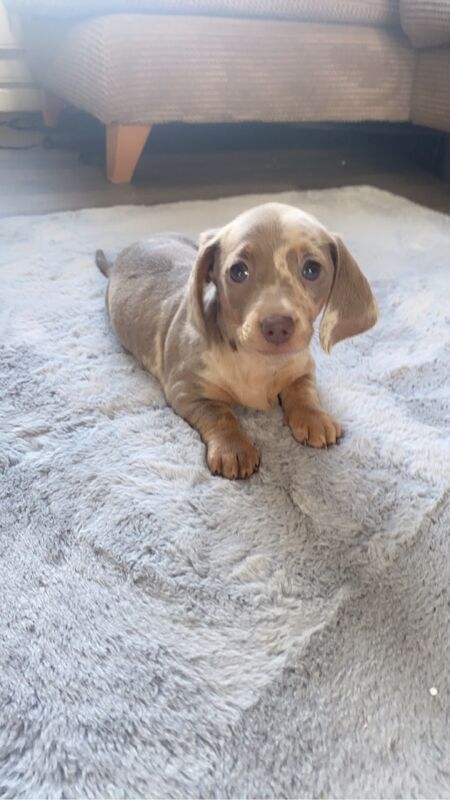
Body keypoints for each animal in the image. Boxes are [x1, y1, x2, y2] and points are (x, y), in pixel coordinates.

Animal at [96, 203, 378, 478]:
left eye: (312, 269)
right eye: (238, 272)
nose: (277, 326)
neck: (259, 362)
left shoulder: (303, 368)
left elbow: (303, 391)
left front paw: (314, 417)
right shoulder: (186, 389)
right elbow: (220, 415)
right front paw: (233, 448)